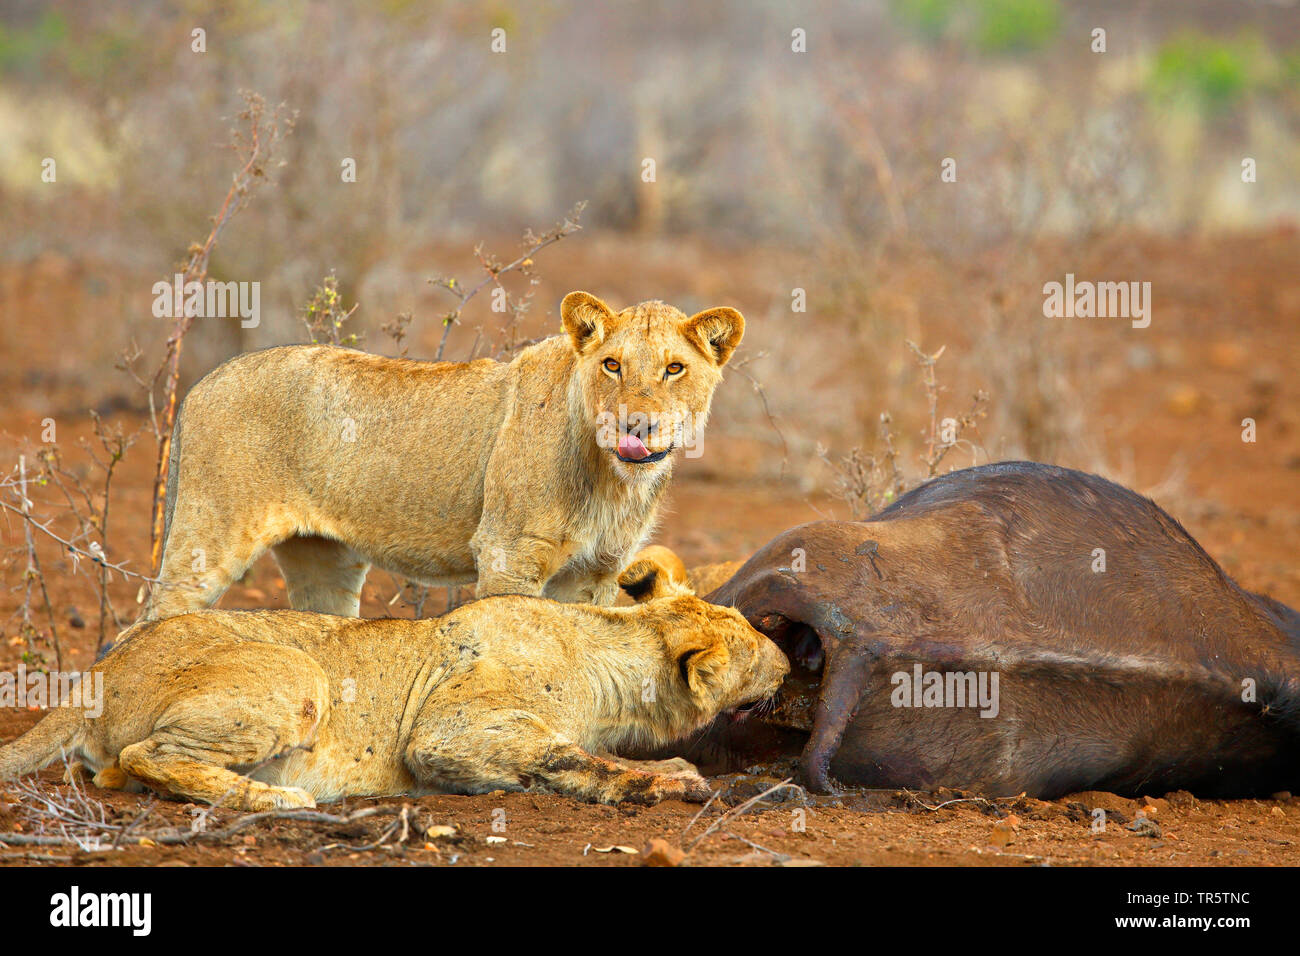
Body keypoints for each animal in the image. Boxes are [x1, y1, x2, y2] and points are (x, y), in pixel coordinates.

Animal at [0, 595, 785, 806]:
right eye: (750, 640)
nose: (787, 656)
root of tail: (100, 671)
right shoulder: (444, 736)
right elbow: (573, 759)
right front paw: (671, 781)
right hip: (299, 672)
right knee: (146, 756)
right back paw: (281, 800)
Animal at [142, 291, 743, 621]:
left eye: (674, 368)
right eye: (613, 365)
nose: (635, 424)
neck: (613, 480)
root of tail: (200, 383)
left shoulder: (597, 572)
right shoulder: (508, 552)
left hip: (324, 560)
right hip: (209, 537)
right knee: (149, 623)